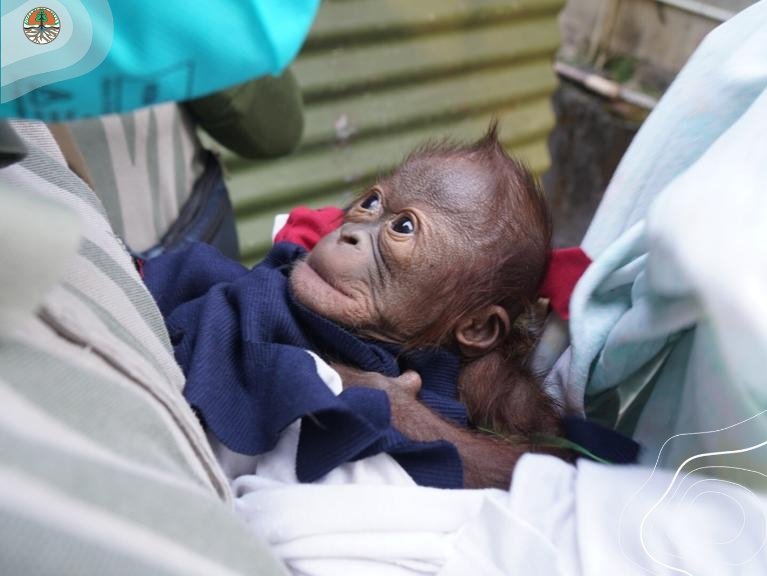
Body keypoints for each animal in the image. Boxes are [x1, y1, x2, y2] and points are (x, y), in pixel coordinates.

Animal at [144, 122, 564, 491]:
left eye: (403, 227)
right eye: (371, 203)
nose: (349, 236)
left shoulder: (495, 380)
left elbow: (545, 456)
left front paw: (374, 392)